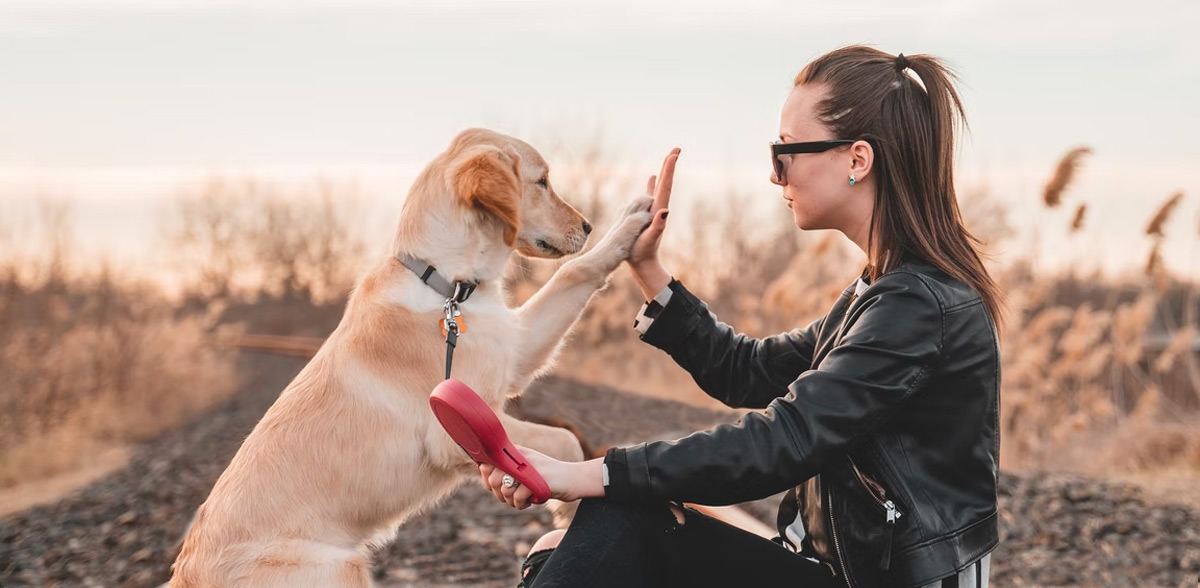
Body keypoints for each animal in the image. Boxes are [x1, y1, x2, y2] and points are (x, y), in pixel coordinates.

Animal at [166, 129, 657, 588]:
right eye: (542, 181)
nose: (588, 225)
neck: (446, 285)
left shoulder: (516, 349)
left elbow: (576, 271)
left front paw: (630, 224)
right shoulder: (455, 429)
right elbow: (564, 442)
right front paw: (566, 511)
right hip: (339, 569)